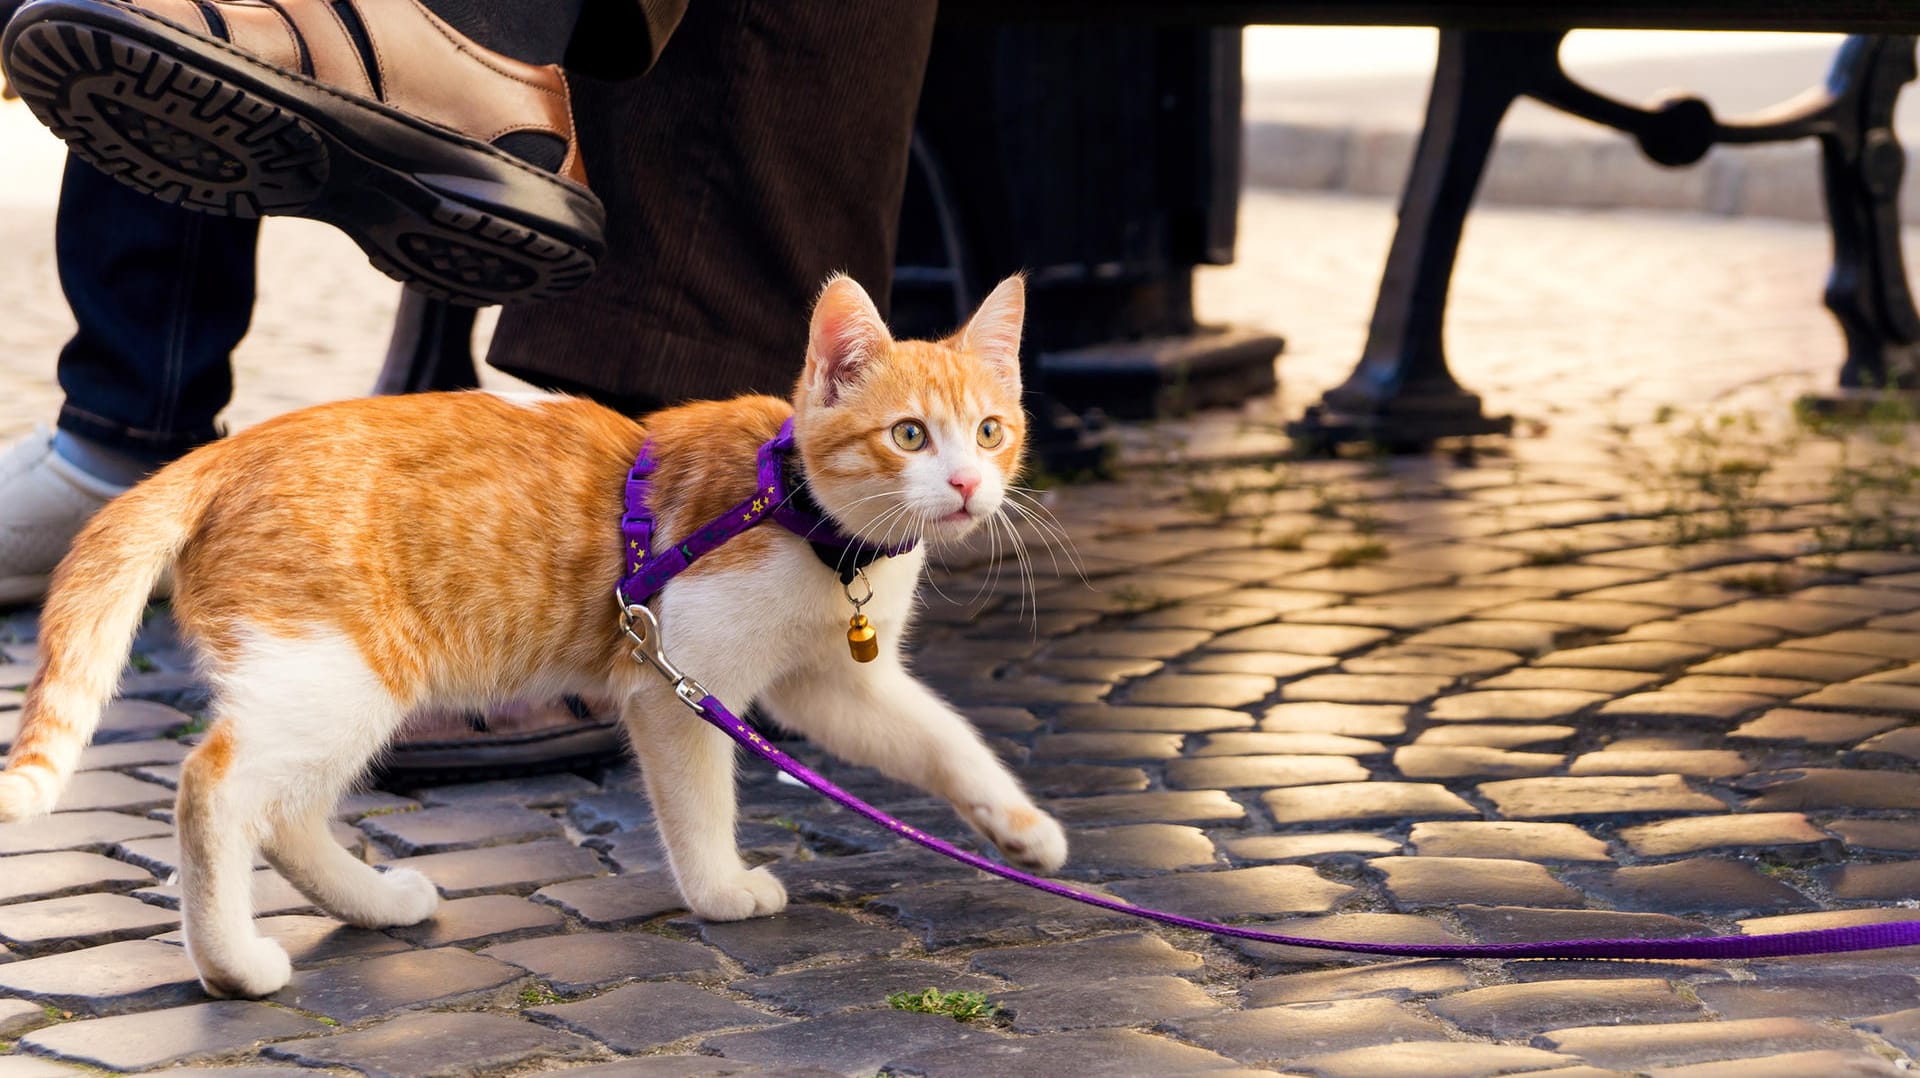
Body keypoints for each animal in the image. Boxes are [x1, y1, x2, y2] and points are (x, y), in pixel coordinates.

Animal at [0, 272, 1067, 999]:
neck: (815, 525)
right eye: (909, 436)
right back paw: (233, 964)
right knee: (214, 789)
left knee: (287, 812)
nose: (967, 486)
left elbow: (940, 740)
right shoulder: (678, 681)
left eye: (990, 430)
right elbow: (699, 804)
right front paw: (720, 890)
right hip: (335, 675)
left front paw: (1022, 827)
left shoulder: (829, 685)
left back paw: (373, 904)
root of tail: (226, 450)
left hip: (335, 687)